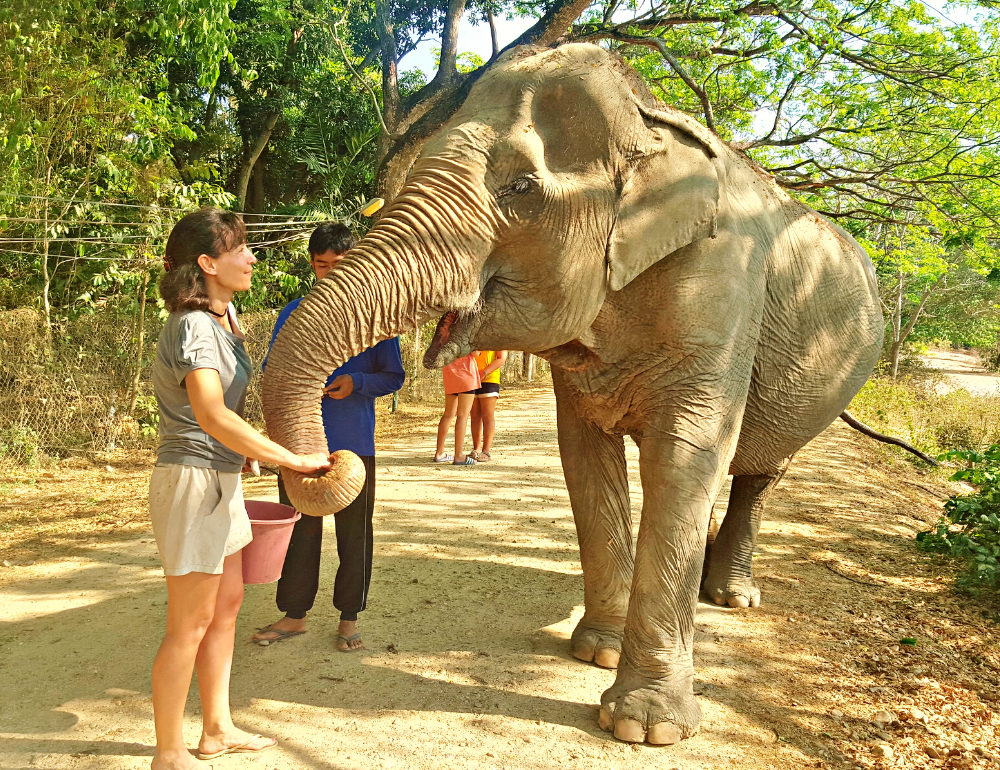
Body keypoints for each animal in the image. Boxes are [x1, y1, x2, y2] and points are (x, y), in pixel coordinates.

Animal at [264, 43, 884, 744]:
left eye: (520, 188)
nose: (330, 458)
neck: (650, 123)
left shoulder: (722, 292)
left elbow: (685, 455)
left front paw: (644, 727)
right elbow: (584, 456)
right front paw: (596, 652)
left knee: (757, 470)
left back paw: (732, 598)